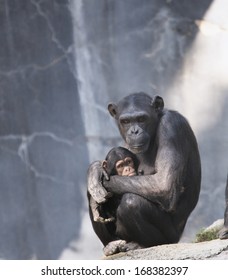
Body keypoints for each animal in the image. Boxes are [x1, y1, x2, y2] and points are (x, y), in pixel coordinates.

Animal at [86, 92, 200, 256]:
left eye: (141, 119)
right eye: (126, 121)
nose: (134, 131)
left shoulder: (171, 126)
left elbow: (163, 185)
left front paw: (98, 179)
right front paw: (95, 171)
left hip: (170, 236)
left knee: (132, 202)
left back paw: (142, 244)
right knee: (91, 195)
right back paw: (110, 245)